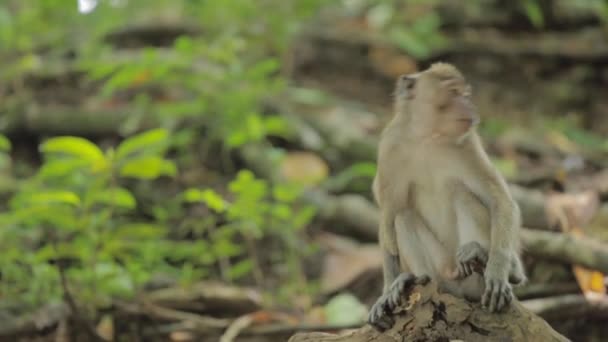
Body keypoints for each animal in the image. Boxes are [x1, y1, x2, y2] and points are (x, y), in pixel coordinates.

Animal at [366, 62, 528, 332]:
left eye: (465, 94)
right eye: (453, 92)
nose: (469, 105)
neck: (428, 137)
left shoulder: (468, 145)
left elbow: (501, 201)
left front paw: (497, 269)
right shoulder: (389, 149)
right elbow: (389, 217)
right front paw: (386, 291)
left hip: (472, 280)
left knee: (463, 195)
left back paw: (491, 261)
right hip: (442, 272)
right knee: (403, 216)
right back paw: (413, 278)